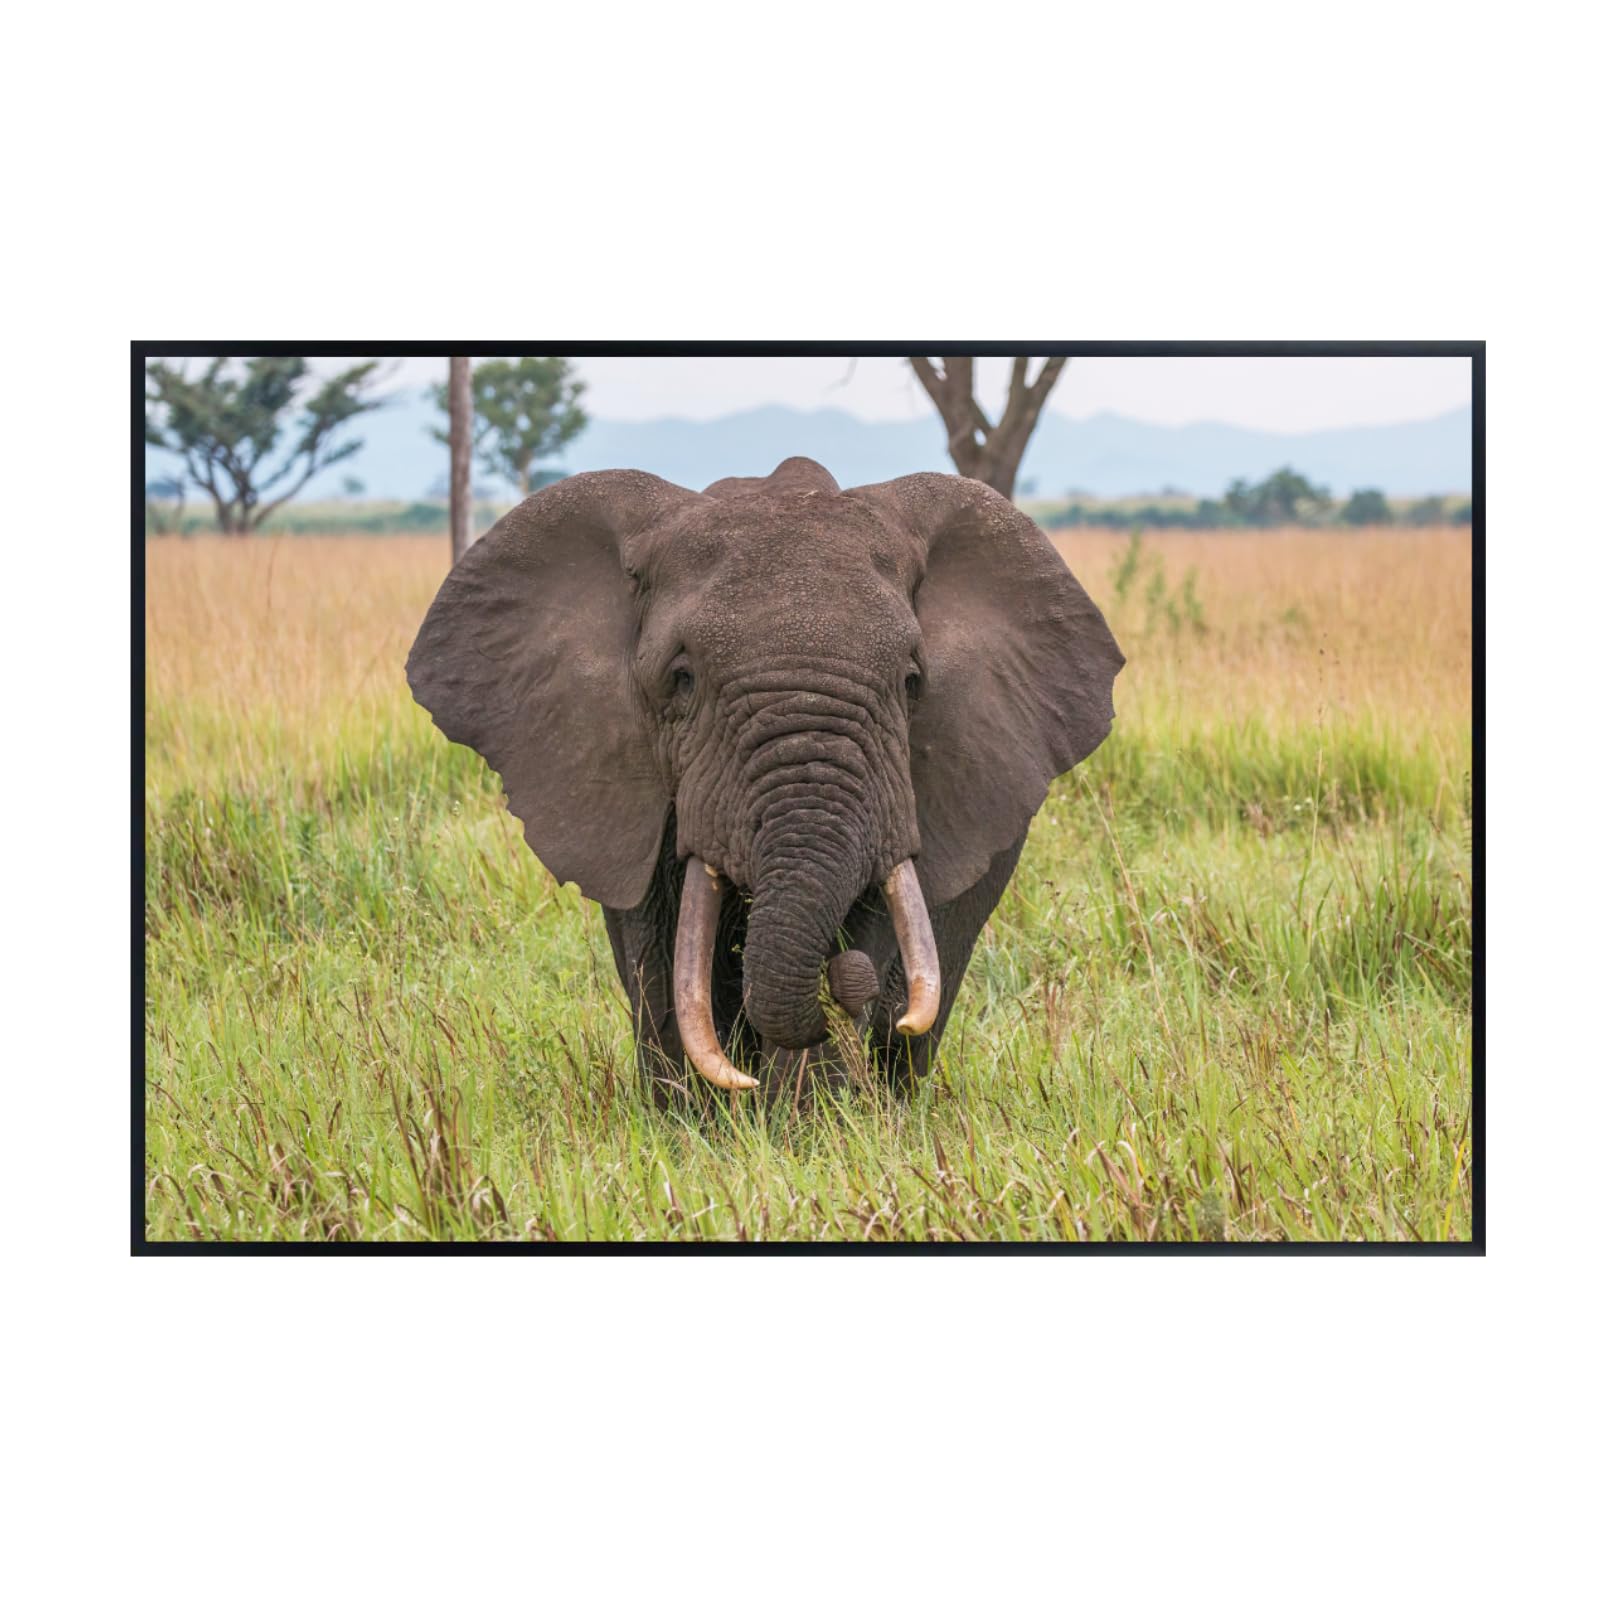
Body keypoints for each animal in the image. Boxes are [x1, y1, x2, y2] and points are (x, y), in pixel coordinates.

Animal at [406, 456, 1123, 1109]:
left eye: (912, 681)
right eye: (682, 678)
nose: (843, 981)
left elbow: (874, 913)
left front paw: (805, 1125)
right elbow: (657, 946)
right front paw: (694, 1123)